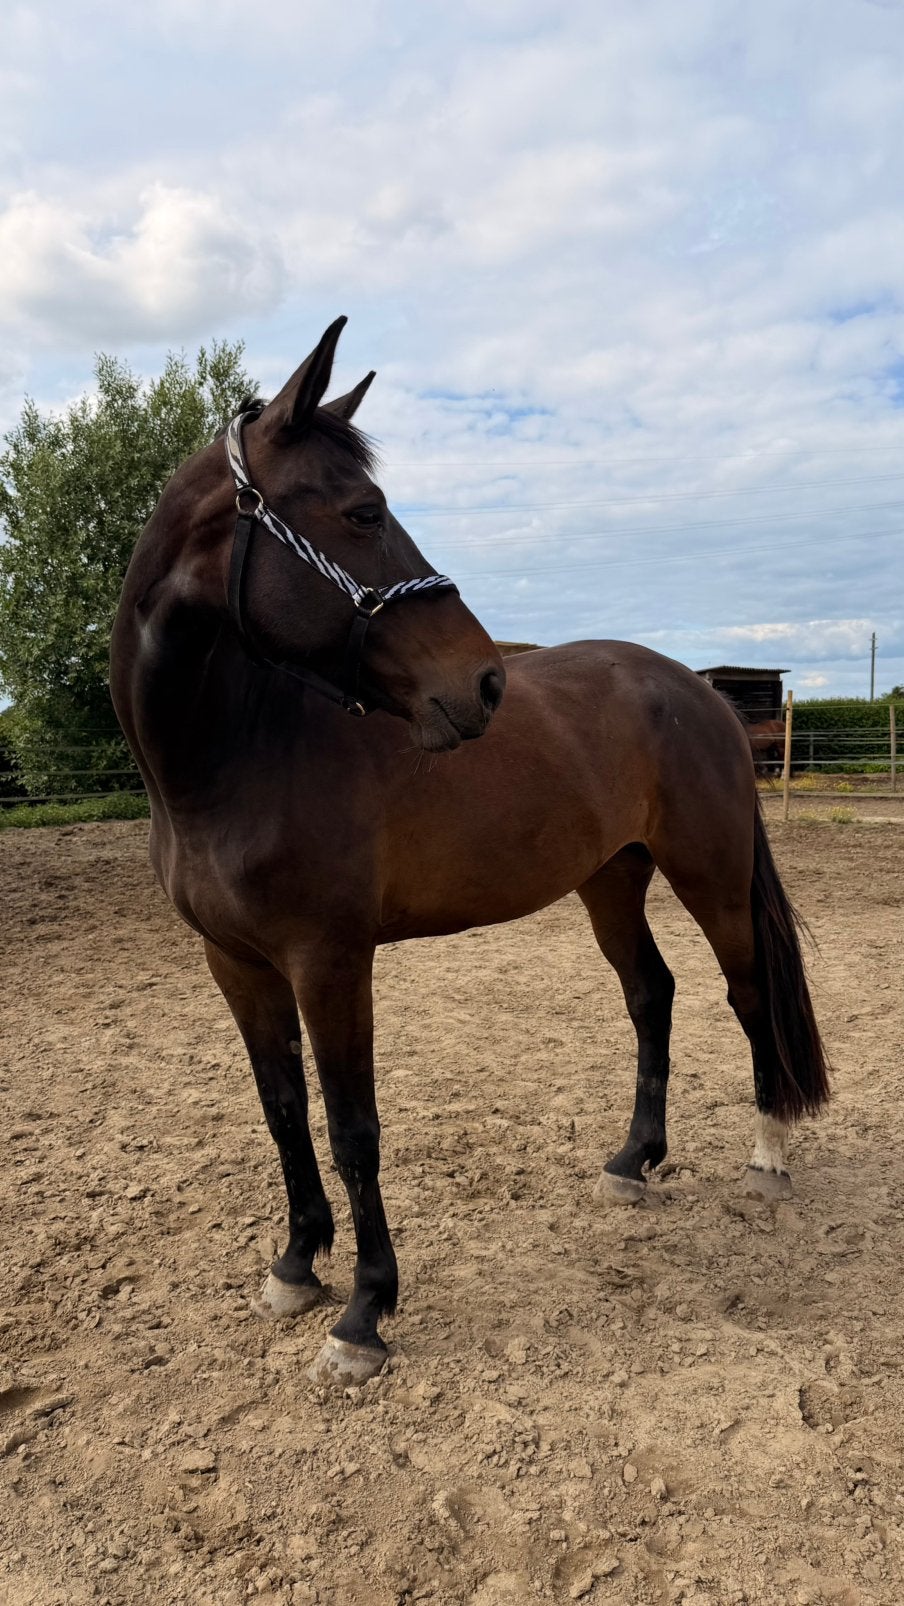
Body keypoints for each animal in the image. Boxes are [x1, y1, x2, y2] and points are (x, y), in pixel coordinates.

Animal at [110, 318, 829, 1388]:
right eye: (363, 511)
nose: (484, 683)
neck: (234, 754)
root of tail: (696, 689)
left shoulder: (329, 961)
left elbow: (352, 1128)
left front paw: (364, 1312)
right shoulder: (235, 964)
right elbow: (283, 1111)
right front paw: (295, 1265)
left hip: (710, 877)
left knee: (746, 996)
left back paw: (769, 1154)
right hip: (610, 879)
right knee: (650, 994)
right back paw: (633, 1163)